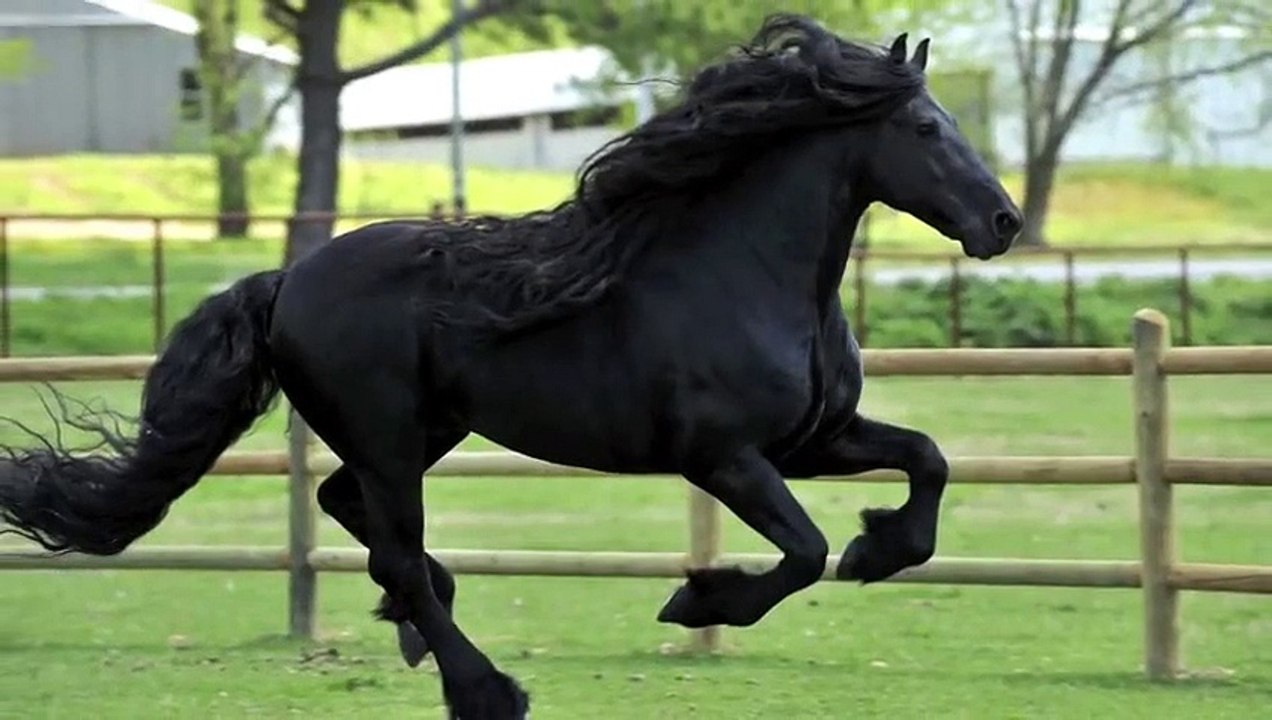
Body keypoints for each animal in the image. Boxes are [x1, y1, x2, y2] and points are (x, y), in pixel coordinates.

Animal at [0, 14, 1020, 719]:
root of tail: (290, 279)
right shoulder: (724, 457)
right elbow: (803, 551)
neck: (748, 274)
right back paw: (484, 688)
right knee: (394, 548)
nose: (1004, 222)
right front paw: (695, 600)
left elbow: (927, 461)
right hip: (389, 437)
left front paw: (879, 550)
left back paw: (418, 631)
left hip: (423, 432)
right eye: (926, 129)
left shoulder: (814, 440)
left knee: (351, 512)